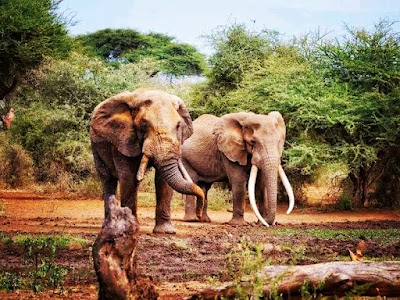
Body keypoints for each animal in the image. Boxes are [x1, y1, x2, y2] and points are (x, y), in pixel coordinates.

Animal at [89, 89, 205, 234]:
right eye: (144, 124)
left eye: (178, 126)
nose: (199, 214)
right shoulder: (123, 138)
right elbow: (128, 177)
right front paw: (130, 230)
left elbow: (162, 181)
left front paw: (165, 231)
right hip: (95, 145)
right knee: (108, 180)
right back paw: (109, 225)